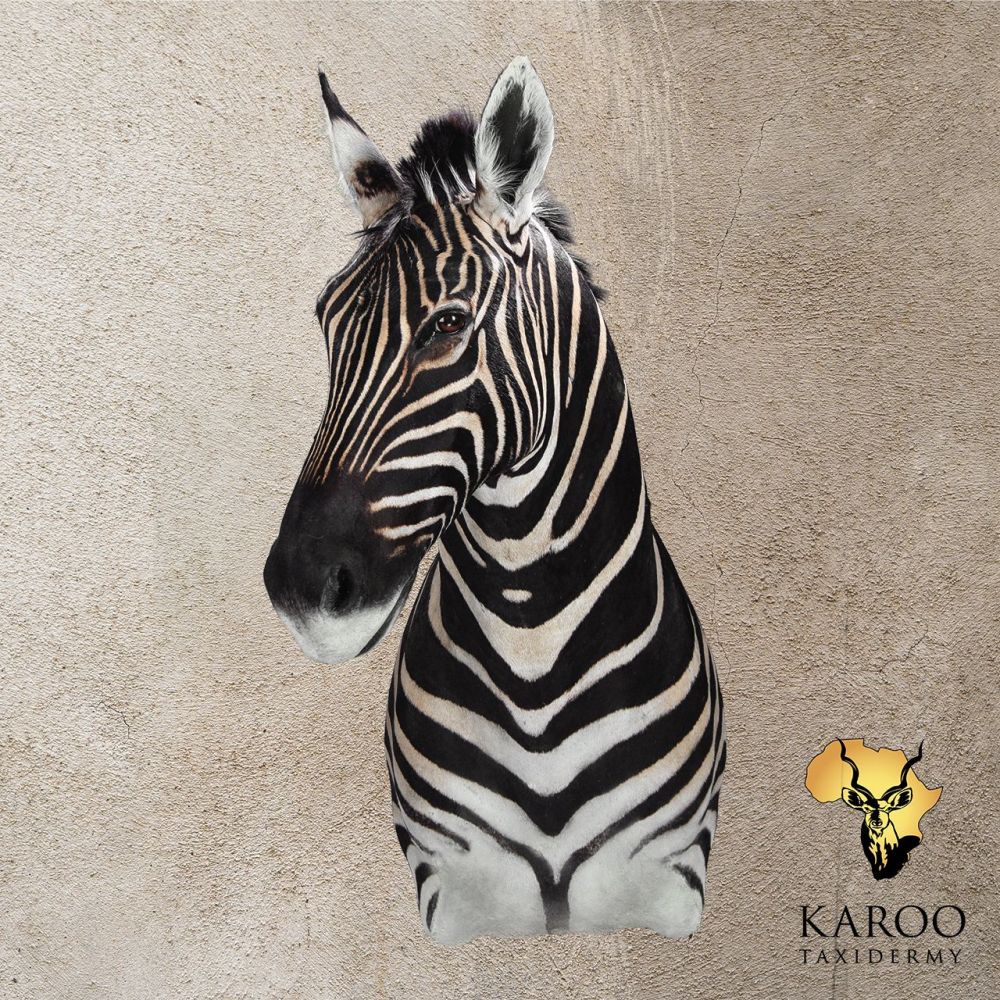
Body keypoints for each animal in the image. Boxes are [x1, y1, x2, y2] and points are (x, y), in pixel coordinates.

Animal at [263, 57, 726, 945]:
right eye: (324, 321)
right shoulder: (454, 887)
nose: (302, 590)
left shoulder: (669, 877)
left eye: (446, 325)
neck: (531, 645)